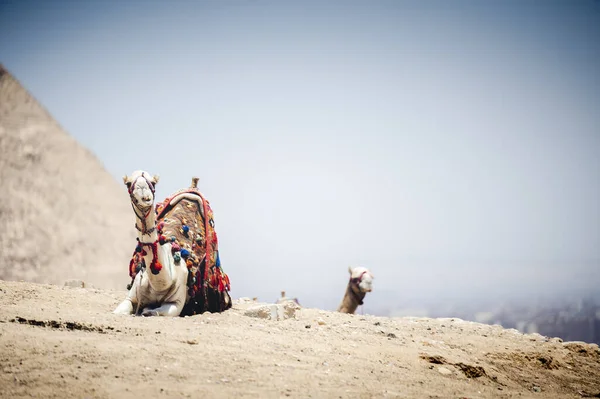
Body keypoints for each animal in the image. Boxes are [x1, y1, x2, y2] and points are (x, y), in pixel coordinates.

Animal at [113, 170, 231, 318]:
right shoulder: (131, 297)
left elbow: (153, 311)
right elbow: (118, 311)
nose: (145, 197)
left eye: (153, 182)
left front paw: (146, 309)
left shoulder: (176, 304)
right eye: (128, 183)